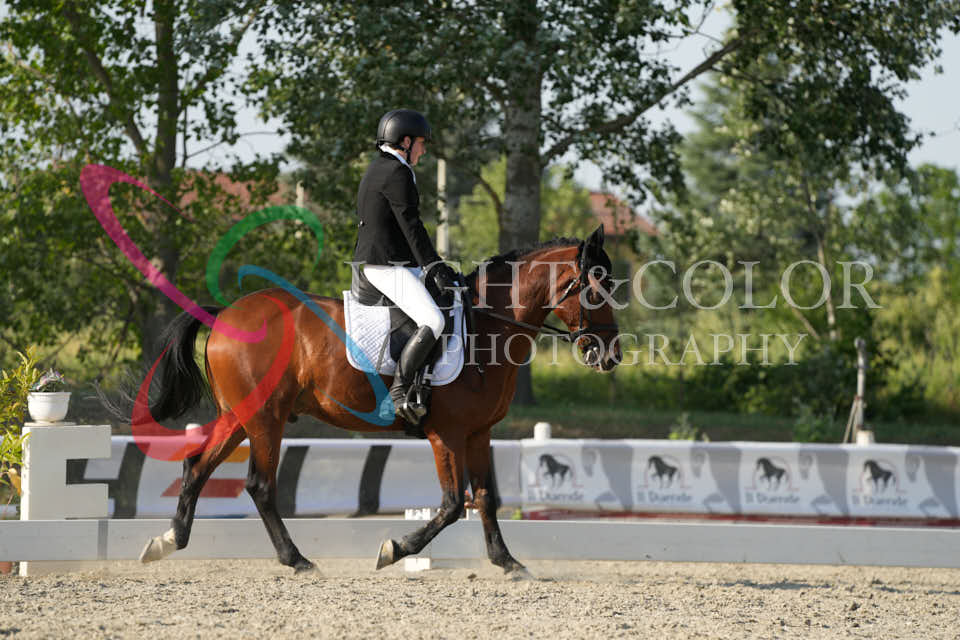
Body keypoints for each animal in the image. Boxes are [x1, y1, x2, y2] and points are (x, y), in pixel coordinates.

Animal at [136, 226, 621, 574]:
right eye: (595, 291)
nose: (610, 356)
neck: (487, 328)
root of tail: (226, 314)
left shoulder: (478, 433)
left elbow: (484, 498)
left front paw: (508, 562)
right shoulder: (446, 434)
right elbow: (451, 504)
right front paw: (394, 549)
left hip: (239, 417)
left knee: (197, 467)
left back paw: (167, 541)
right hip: (264, 419)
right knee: (259, 484)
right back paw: (297, 560)